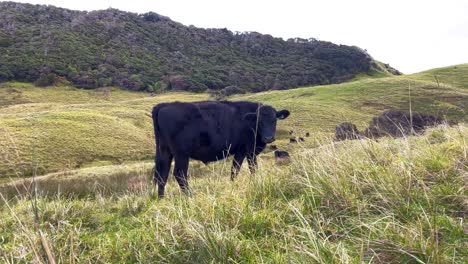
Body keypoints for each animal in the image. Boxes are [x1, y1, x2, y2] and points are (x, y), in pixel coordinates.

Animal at [152, 101, 288, 198]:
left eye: (274, 120)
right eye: (259, 122)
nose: (268, 138)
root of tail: (164, 105)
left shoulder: (251, 152)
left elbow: (253, 169)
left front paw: (255, 182)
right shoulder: (241, 150)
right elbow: (235, 170)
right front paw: (233, 187)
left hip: (165, 151)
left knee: (162, 174)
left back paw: (161, 199)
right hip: (181, 154)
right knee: (179, 174)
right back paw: (190, 196)